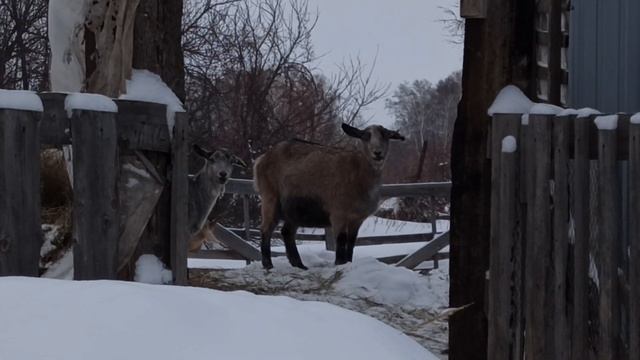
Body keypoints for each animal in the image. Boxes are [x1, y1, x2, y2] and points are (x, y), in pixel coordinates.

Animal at [252, 122, 402, 268]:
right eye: (365, 136)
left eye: (385, 135)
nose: (378, 153)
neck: (357, 172)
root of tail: (262, 159)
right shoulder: (338, 213)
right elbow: (341, 240)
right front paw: (339, 264)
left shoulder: (357, 219)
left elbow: (351, 243)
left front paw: (348, 263)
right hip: (270, 197)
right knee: (266, 229)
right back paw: (268, 264)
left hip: (294, 209)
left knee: (287, 232)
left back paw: (299, 264)